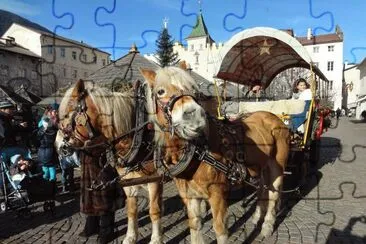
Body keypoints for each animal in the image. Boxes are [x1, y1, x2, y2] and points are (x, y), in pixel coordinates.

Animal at [55, 80, 162, 244]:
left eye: (67, 114)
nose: (57, 145)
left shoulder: (155, 180)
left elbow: (154, 211)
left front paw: (156, 239)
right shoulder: (129, 181)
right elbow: (131, 210)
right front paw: (130, 237)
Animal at [142, 66, 290, 244]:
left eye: (193, 89)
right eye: (160, 91)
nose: (194, 115)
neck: (199, 152)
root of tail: (275, 118)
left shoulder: (217, 194)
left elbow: (220, 229)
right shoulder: (190, 196)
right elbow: (195, 225)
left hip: (277, 166)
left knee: (274, 193)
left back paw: (267, 226)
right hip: (261, 166)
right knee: (263, 187)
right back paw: (256, 217)